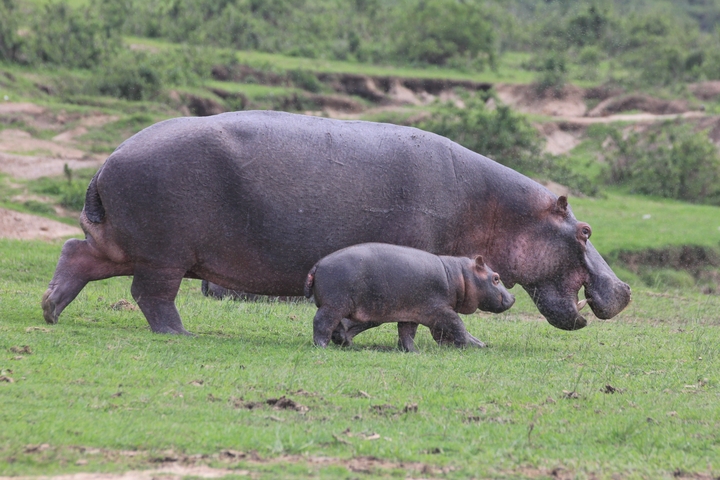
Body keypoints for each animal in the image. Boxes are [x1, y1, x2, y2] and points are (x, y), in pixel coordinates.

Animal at [42, 110, 630, 340]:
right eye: (584, 231)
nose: (624, 288)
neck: (501, 210)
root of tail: (107, 160)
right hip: (165, 252)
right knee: (152, 296)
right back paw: (180, 334)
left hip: (125, 244)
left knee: (75, 253)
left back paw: (50, 311)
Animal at [304, 243, 515, 351]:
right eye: (496, 278)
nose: (513, 297)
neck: (460, 276)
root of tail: (316, 265)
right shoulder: (441, 310)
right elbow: (458, 325)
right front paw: (471, 345)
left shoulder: (412, 312)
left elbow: (407, 334)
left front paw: (413, 351)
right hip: (334, 305)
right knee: (322, 322)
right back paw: (321, 346)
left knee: (338, 325)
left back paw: (345, 343)